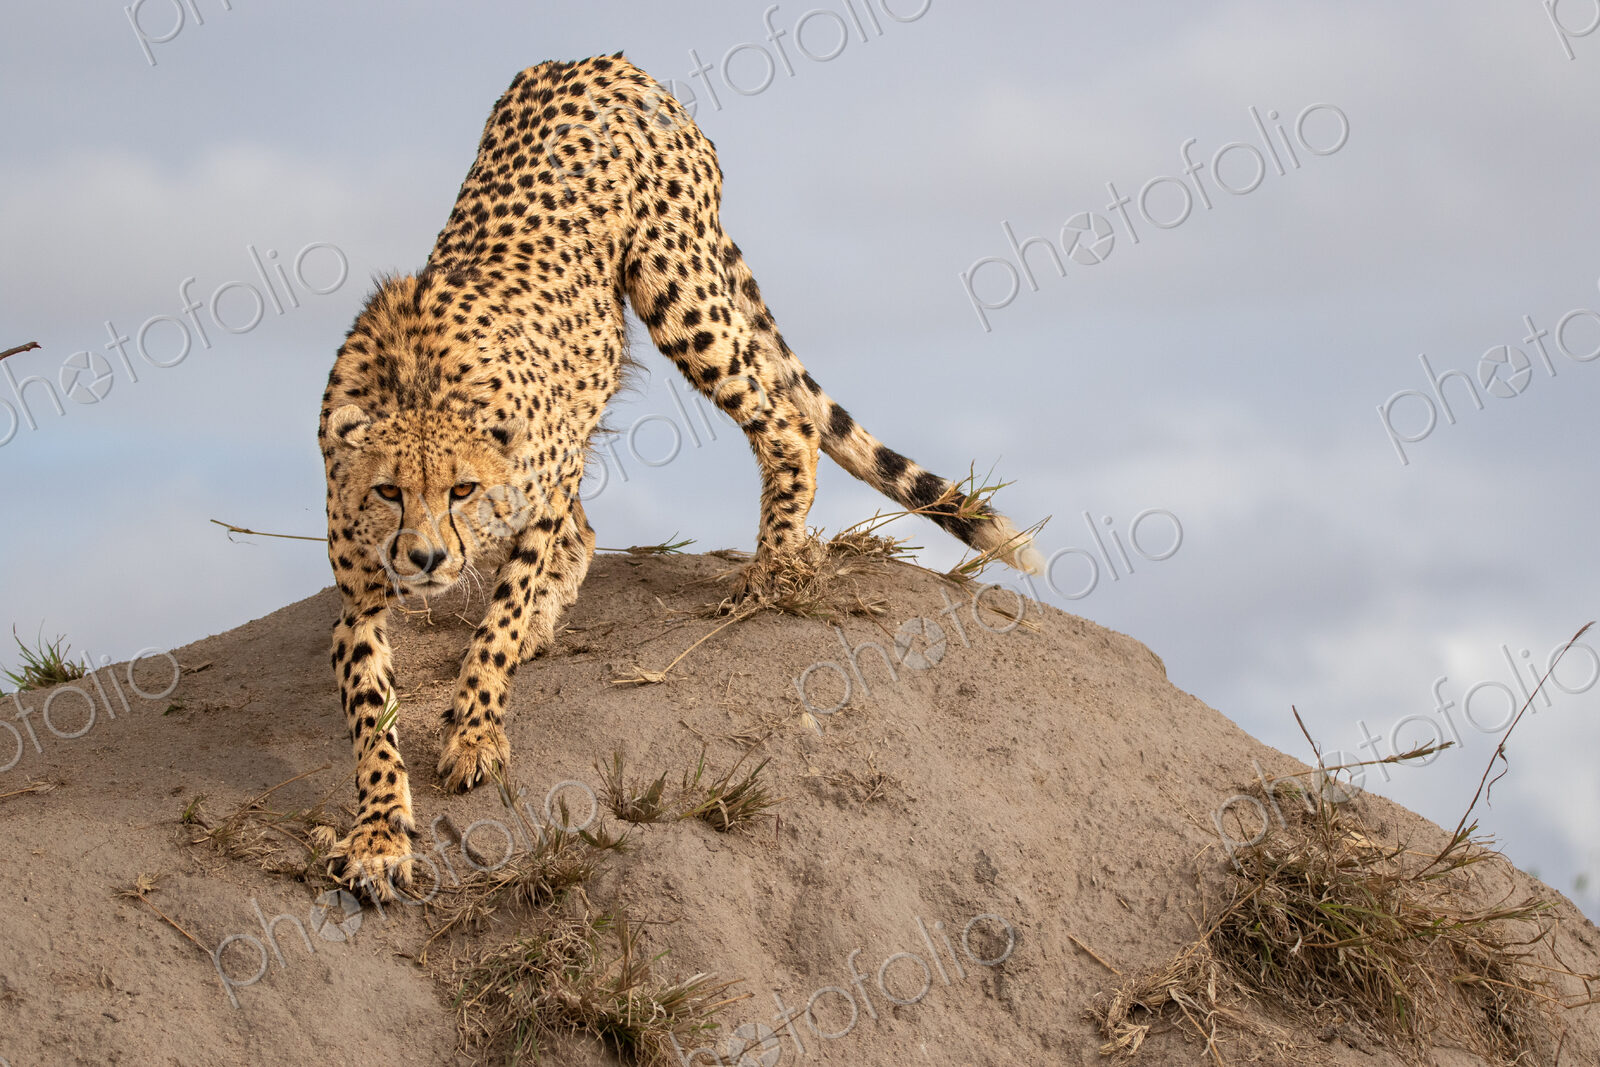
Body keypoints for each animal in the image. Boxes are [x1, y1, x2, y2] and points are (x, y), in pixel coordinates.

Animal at [318, 53, 1043, 897]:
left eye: (461, 490)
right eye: (388, 492)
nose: (428, 558)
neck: (416, 384)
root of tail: (603, 61)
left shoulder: (540, 486)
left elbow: (497, 620)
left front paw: (476, 730)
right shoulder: (361, 591)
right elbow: (372, 708)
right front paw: (378, 835)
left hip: (677, 286)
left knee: (787, 424)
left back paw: (771, 570)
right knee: (593, 526)